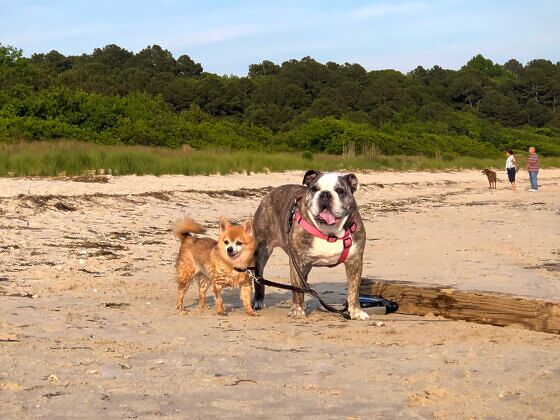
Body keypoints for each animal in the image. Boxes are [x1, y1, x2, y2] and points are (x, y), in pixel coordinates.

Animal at [251, 170, 369, 320]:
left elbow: (354, 289)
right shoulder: (297, 261)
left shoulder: (355, 261)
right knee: (259, 277)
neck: (329, 232)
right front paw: (297, 310)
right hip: (262, 251)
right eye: (314, 189)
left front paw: (356, 311)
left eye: (340, 191)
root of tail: (270, 193)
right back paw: (258, 300)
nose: (325, 194)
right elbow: (297, 287)